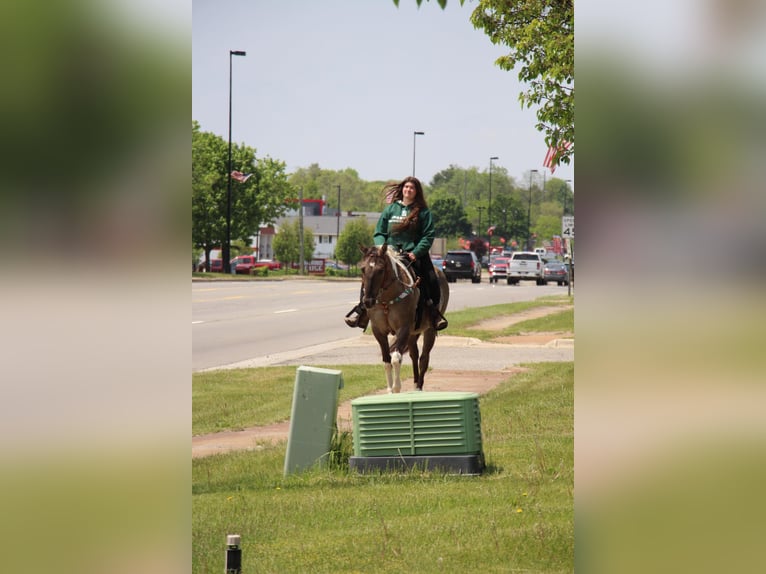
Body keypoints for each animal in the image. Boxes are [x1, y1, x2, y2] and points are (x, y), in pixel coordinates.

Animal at [360, 243, 450, 396]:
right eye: (362, 269)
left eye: (381, 270)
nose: (368, 301)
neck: (386, 300)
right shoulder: (379, 331)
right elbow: (387, 361)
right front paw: (390, 390)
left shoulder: (403, 328)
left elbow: (396, 358)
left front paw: (396, 388)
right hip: (412, 334)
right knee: (414, 355)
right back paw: (414, 385)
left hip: (429, 330)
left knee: (424, 358)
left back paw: (419, 387)